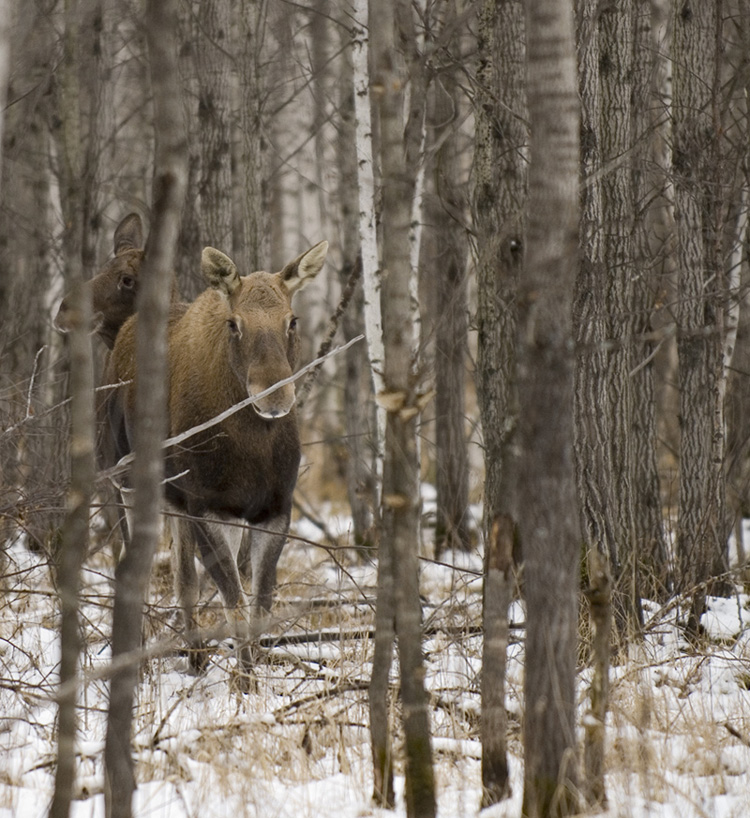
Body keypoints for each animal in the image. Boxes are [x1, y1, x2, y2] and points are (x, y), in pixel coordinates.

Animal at [109, 239, 328, 684]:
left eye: (292, 320)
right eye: (234, 323)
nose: (274, 396)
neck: (252, 447)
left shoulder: (273, 509)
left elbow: (258, 601)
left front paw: (251, 674)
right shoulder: (208, 505)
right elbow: (233, 599)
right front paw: (243, 683)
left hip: (175, 500)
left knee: (183, 578)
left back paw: (195, 656)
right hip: (126, 482)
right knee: (134, 572)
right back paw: (138, 664)